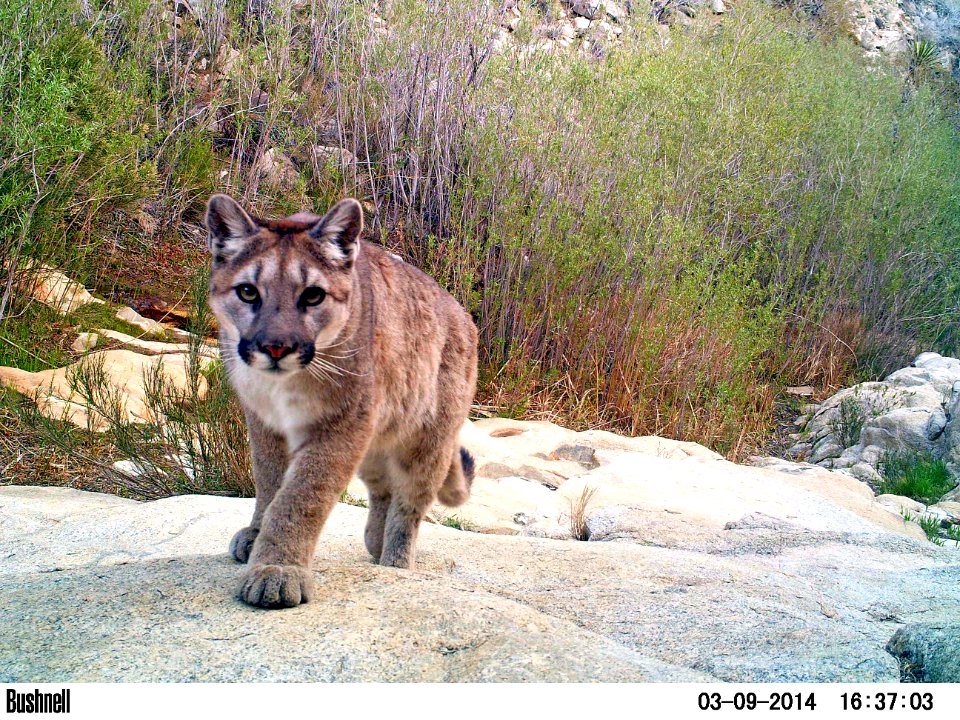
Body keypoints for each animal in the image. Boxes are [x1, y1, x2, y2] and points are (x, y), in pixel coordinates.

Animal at [205, 195, 476, 608]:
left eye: (313, 295)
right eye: (248, 291)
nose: (276, 347)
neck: (282, 387)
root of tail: (465, 315)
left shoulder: (341, 424)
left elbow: (301, 496)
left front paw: (277, 571)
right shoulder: (264, 421)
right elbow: (267, 480)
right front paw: (256, 535)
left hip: (427, 441)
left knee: (409, 505)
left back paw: (395, 562)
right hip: (376, 441)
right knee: (382, 489)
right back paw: (375, 543)